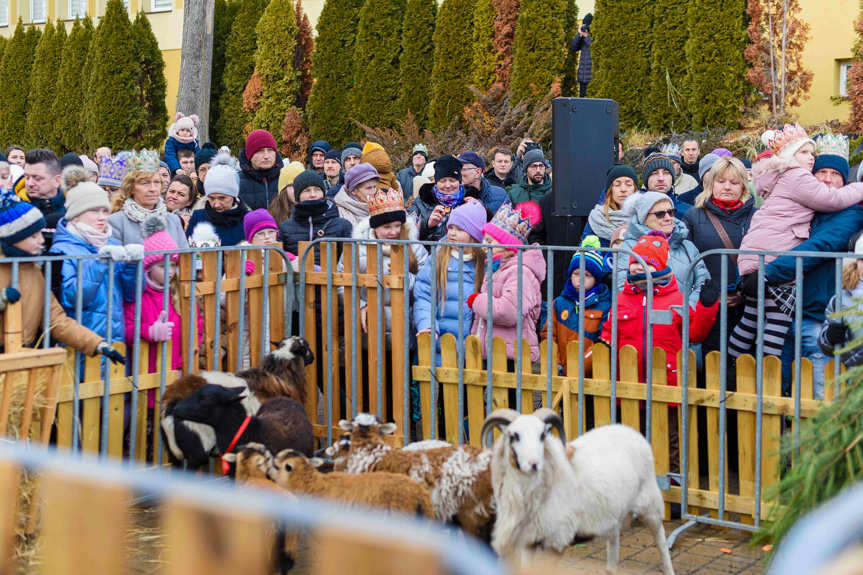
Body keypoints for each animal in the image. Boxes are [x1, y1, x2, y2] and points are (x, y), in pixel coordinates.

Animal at [482, 408, 672, 572]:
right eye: (514, 435)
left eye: (542, 435)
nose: (533, 464)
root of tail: (628, 429)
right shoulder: (528, 541)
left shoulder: (557, 541)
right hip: (613, 513)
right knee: (613, 551)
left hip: (650, 505)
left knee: (662, 543)